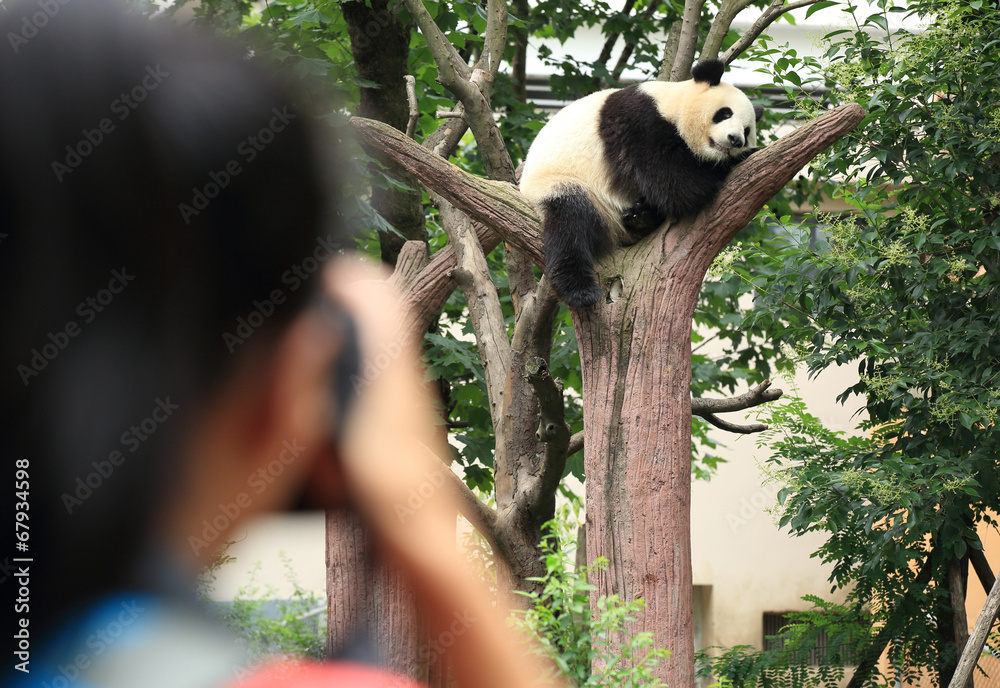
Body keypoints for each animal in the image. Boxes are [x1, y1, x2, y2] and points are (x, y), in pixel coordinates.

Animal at [519, 58, 764, 308]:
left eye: (747, 131)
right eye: (724, 113)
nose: (736, 140)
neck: (672, 104)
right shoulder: (641, 124)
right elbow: (678, 186)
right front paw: (741, 158)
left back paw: (641, 217)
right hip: (561, 183)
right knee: (569, 224)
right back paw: (580, 291)